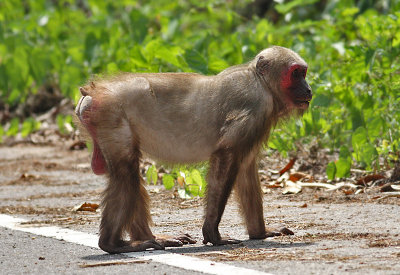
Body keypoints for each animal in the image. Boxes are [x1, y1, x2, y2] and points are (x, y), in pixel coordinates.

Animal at [75, 45, 312, 254]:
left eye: (303, 73)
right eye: (296, 74)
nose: (309, 89)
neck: (260, 82)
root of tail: (93, 93)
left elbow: (245, 168)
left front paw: (260, 233)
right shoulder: (254, 106)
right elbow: (226, 156)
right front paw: (213, 233)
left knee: (128, 171)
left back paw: (149, 237)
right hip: (111, 114)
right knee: (126, 172)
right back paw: (113, 244)